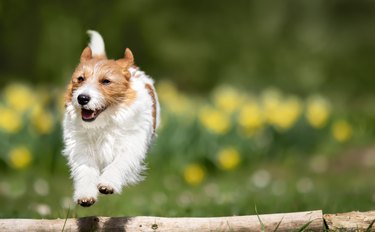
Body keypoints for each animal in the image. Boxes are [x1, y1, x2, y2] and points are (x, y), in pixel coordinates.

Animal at [63, 30, 160, 207]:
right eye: (80, 79)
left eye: (106, 81)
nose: (82, 98)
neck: (104, 123)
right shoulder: (82, 148)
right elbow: (86, 170)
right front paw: (85, 194)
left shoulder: (130, 145)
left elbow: (119, 163)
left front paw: (108, 183)